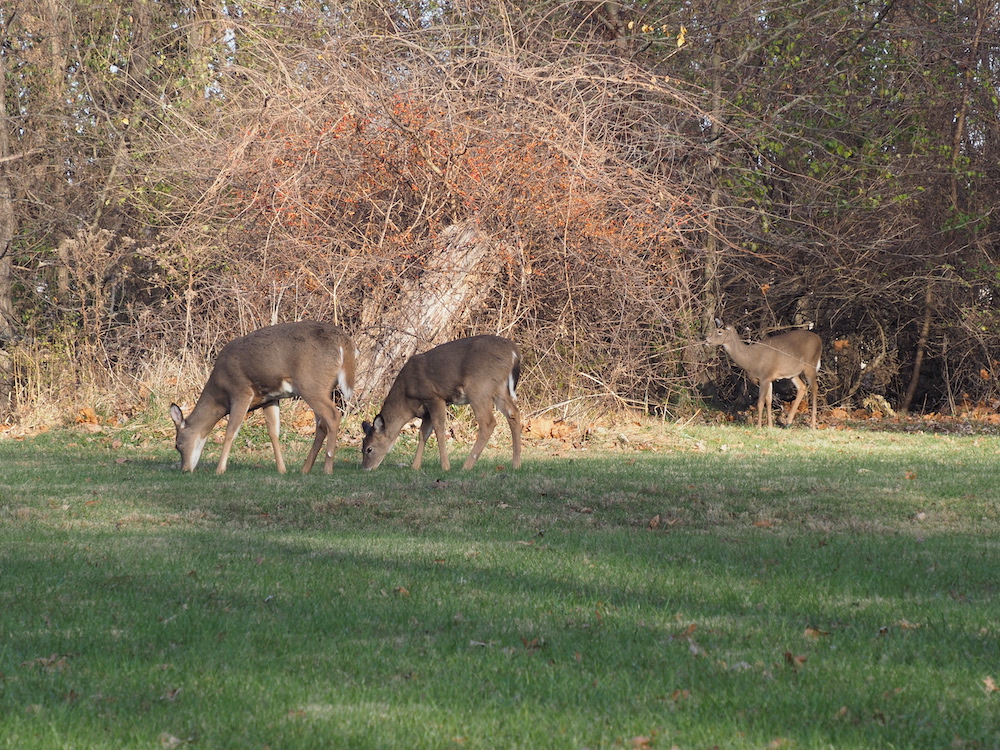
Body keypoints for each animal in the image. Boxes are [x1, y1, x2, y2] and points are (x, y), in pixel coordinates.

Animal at [170, 322, 358, 476]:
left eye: (178, 444)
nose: (185, 469)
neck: (220, 394)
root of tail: (344, 342)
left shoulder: (241, 391)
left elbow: (231, 431)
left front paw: (220, 470)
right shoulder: (270, 399)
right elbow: (273, 432)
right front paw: (282, 469)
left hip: (311, 385)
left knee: (333, 415)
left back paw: (327, 469)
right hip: (321, 388)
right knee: (321, 424)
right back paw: (305, 469)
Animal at [366, 338, 524, 472]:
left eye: (369, 449)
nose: (365, 468)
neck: (407, 400)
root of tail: (514, 352)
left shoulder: (434, 397)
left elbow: (439, 428)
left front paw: (445, 466)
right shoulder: (426, 411)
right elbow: (423, 433)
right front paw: (415, 466)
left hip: (479, 387)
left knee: (488, 422)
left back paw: (466, 466)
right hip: (499, 388)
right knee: (513, 413)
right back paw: (516, 465)